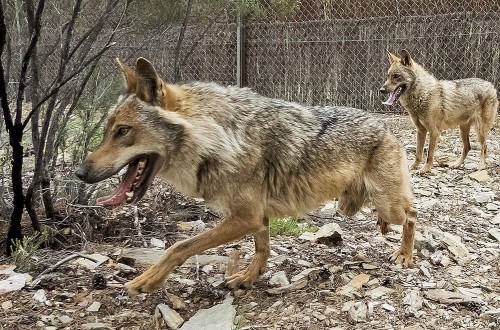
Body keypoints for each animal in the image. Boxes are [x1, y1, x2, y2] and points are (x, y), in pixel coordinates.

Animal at [75, 57, 418, 294]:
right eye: (107, 130)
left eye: (123, 131)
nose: (80, 172)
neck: (220, 138)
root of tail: (386, 126)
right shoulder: (257, 217)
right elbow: (261, 249)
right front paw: (249, 277)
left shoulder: (243, 217)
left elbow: (178, 247)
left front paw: (148, 279)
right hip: (359, 205)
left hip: (385, 202)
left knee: (413, 216)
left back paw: (404, 256)